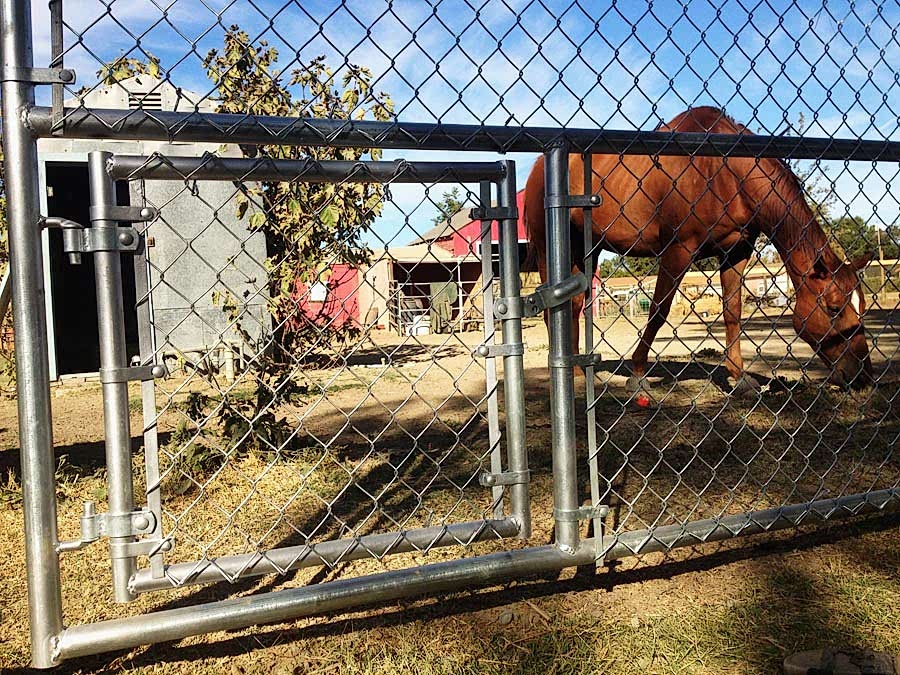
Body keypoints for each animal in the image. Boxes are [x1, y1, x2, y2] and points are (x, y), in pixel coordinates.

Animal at [523, 106, 873, 392]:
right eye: (833, 308)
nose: (862, 377)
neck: (725, 170)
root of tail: (538, 165)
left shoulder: (736, 252)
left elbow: (732, 312)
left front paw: (739, 376)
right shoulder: (678, 250)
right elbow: (659, 310)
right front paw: (637, 374)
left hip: (588, 251)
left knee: (573, 305)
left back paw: (579, 372)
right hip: (546, 247)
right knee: (553, 308)